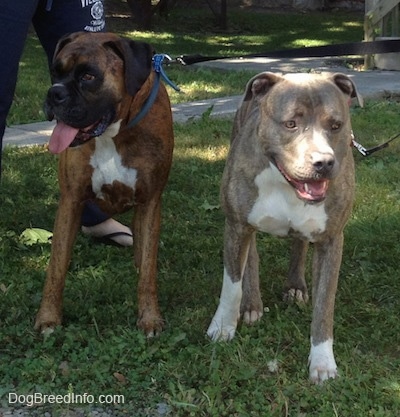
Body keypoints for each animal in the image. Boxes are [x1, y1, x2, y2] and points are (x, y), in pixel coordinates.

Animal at [36, 30, 175, 336]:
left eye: (88, 76)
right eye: (55, 73)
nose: (54, 93)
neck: (113, 133)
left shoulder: (150, 203)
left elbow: (148, 269)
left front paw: (149, 317)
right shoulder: (71, 201)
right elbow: (56, 267)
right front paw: (48, 317)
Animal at [206, 72, 360, 384]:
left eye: (335, 125)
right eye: (291, 124)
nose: (323, 162)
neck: (285, 182)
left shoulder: (331, 240)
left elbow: (324, 305)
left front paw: (322, 361)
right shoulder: (236, 225)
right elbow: (231, 284)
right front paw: (223, 326)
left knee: (299, 244)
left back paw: (295, 286)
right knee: (251, 257)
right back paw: (252, 304)